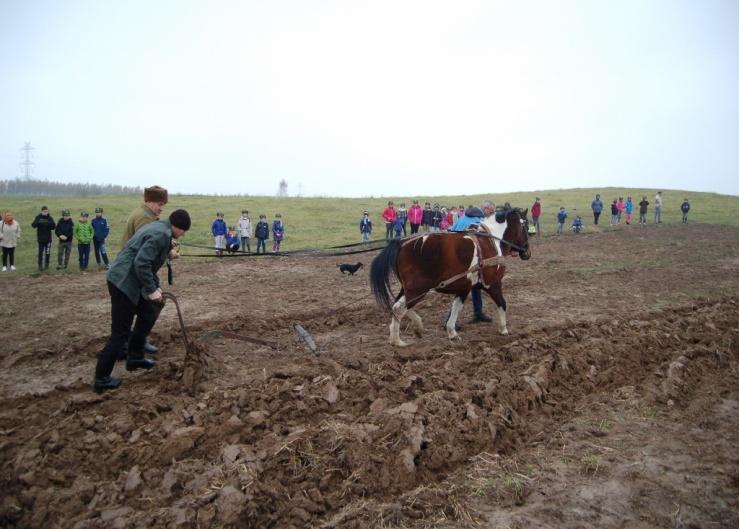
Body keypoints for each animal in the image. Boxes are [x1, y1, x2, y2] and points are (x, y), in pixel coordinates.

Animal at [372, 206, 528, 346]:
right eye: (525, 225)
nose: (527, 252)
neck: (492, 241)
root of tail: (401, 243)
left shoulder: (464, 287)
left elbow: (456, 308)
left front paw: (452, 332)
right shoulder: (493, 283)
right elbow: (502, 303)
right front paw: (504, 329)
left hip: (409, 289)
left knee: (397, 306)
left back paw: (408, 331)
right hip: (418, 289)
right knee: (399, 308)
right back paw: (398, 340)